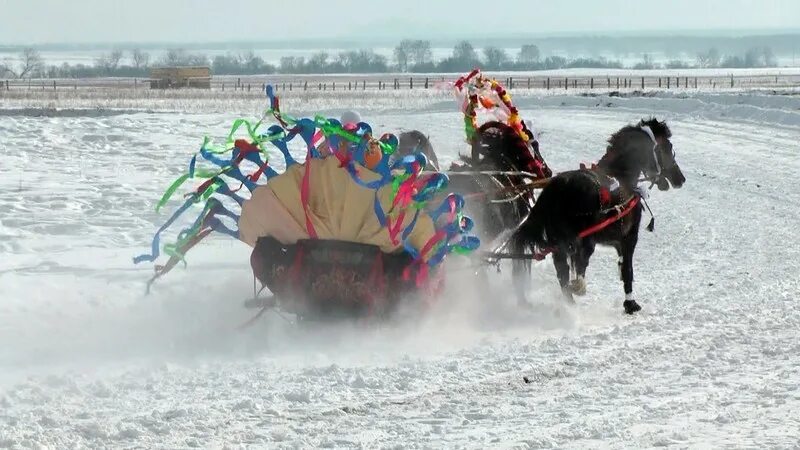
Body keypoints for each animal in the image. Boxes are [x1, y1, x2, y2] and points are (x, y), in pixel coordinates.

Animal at [516, 117, 684, 312]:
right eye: (667, 147)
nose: (680, 178)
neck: (622, 177)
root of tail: (558, 186)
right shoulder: (628, 238)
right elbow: (627, 270)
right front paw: (630, 303)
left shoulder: (616, 241)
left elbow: (622, 268)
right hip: (581, 240)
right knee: (576, 267)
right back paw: (577, 292)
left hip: (560, 243)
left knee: (563, 273)